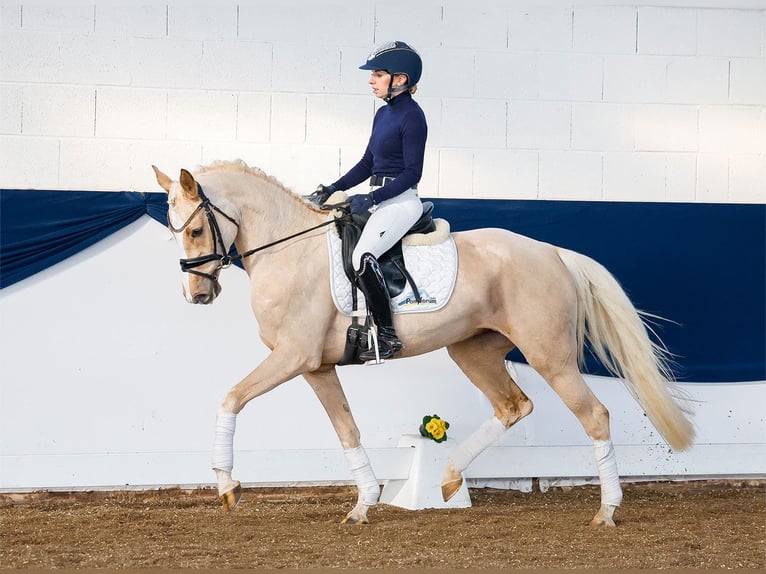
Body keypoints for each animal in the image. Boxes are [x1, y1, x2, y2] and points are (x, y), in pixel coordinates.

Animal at [152, 160, 696, 528]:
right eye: (174, 233)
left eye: (195, 229)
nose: (197, 294)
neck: (290, 250)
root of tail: (551, 252)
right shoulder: (316, 367)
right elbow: (346, 430)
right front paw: (364, 504)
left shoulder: (292, 357)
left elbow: (231, 398)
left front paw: (227, 486)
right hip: (471, 349)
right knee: (513, 405)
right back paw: (450, 478)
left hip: (550, 356)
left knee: (594, 415)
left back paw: (606, 511)